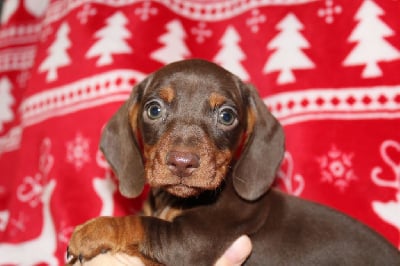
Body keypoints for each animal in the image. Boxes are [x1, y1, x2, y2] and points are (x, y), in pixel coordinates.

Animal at [68, 60, 400, 266]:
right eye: (154, 109)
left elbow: (140, 224)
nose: (182, 162)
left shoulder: (189, 243)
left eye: (227, 115)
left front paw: (92, 231)